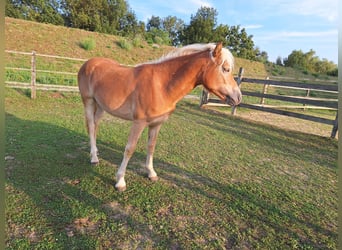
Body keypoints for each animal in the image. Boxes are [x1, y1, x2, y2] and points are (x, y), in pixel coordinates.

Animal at [79, 42, 242, 190]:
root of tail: (89, 63)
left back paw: (95, 152)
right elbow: (130, 149)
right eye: (226, 69)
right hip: (88, 102)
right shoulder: (138, 123)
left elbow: (151, 147)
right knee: (91, 126)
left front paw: (151, 173)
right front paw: (120, 181)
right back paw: (94, 158)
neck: (161, 85)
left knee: (95, 125)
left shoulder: (156, 124)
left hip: (101, 106)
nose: (238, 97)